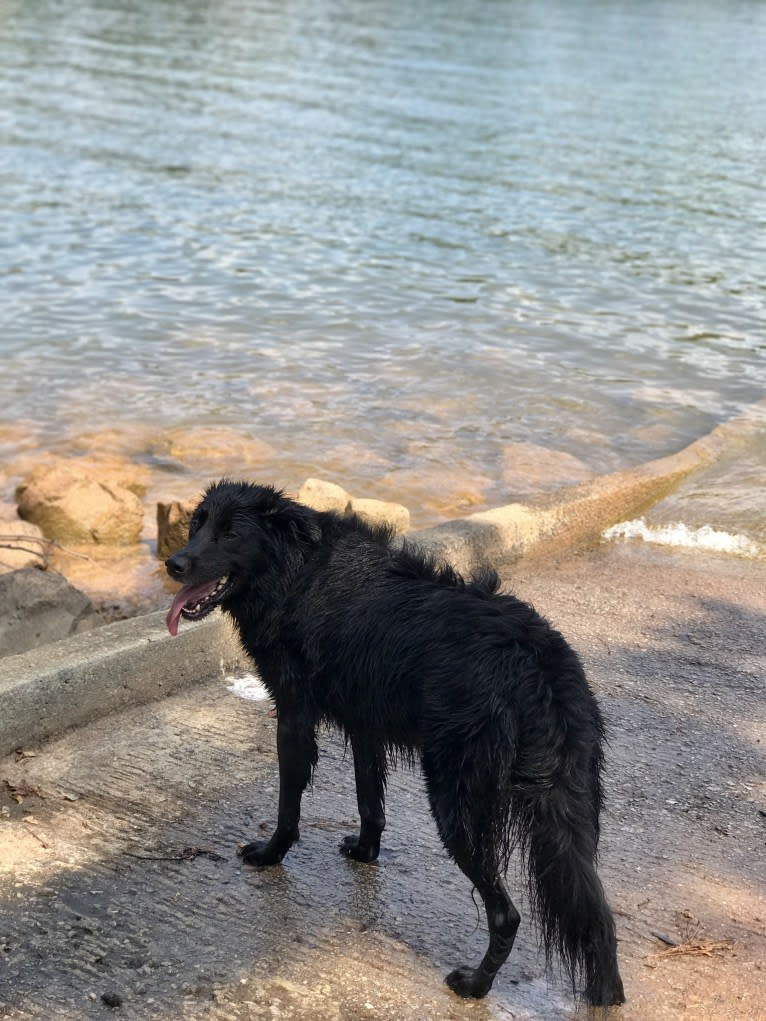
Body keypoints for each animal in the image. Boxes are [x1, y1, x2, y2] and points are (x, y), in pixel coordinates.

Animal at [166, 479, 625, 1004]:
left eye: (230, 533)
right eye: (197, 524)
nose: (173, 564)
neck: (296, 568)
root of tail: (537, 661)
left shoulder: (294, 715)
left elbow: (289, 803)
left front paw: (270, 853)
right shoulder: (365, 724)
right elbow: (370, 801)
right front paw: (366, 853)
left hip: (457, 804)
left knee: (507, 913)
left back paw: (475, 984)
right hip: (568, 809)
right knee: (596, 910)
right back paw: (606, 994)